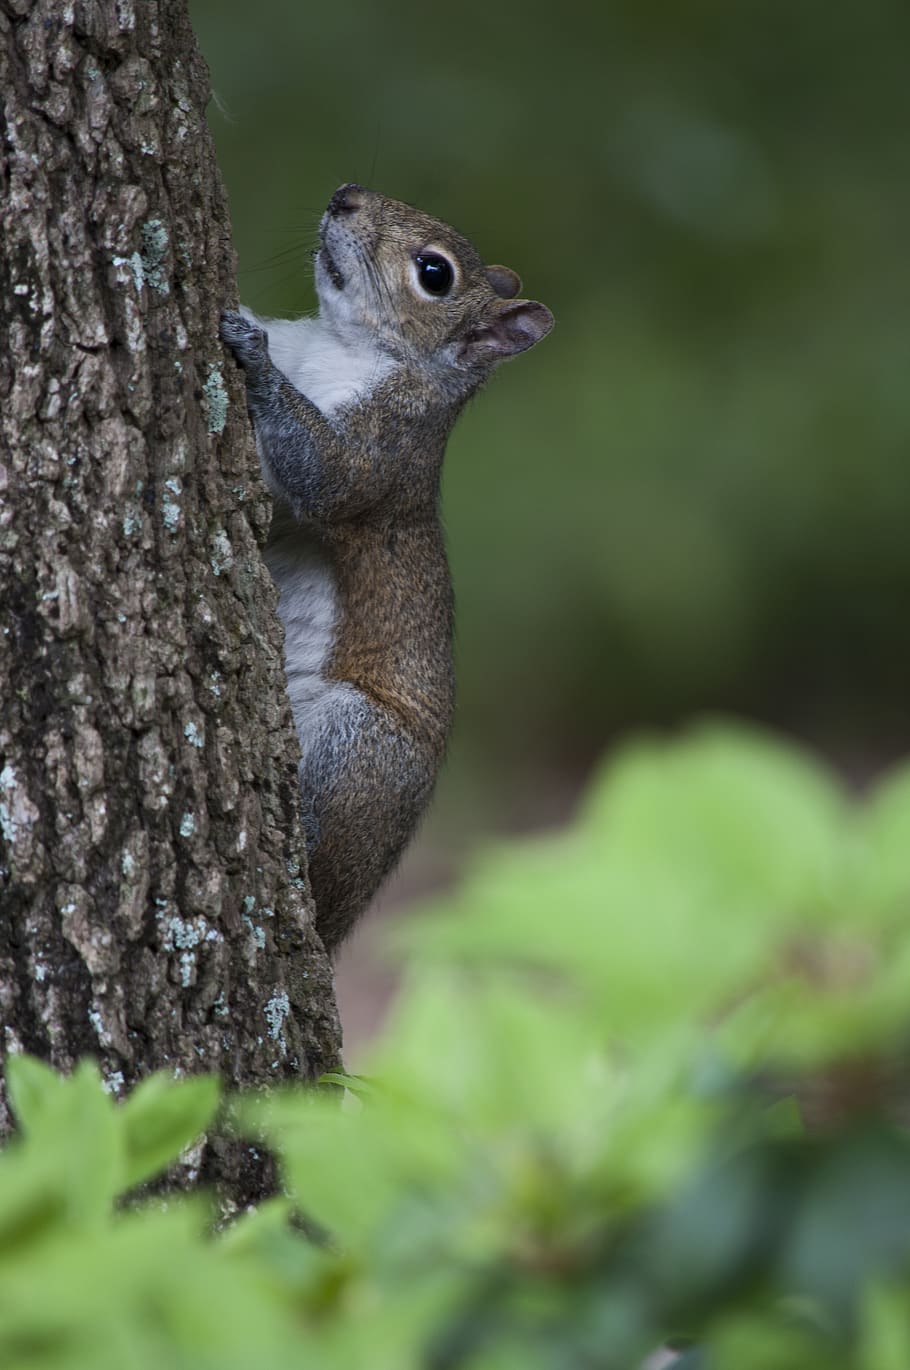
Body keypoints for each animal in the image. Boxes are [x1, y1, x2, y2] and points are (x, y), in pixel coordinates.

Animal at [220, 183, 553, 953]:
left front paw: (254, 355)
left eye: (434, 274)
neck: (338, 343)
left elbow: (325, 475)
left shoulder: (385, 451)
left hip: (362, 753)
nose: (346, 195)